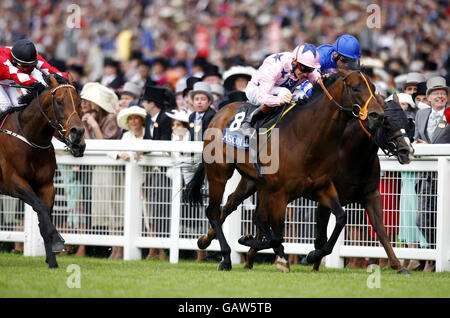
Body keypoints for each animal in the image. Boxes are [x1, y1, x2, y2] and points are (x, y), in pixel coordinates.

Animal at [0, 74, 85, 268]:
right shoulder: (13, 182)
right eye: (59, 101)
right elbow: (40, 207)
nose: (77, 134)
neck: (30, 141)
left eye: (79, 102)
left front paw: (52, 259)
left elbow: (44, 216)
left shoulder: (47, 185)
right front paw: (58, 240)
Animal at [188, 69, 384, 270]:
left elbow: (341, 218)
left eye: (374, 87)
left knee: (233, 206)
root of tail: (218, 114)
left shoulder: (321, 187)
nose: (377, 115)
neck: (305, 137)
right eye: (355, 88)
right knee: (213, 211)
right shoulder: (280, 193)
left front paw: (313, 255)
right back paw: (226, 257)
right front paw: (254, 244)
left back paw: (204, 240)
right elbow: (277, 234)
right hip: (219, 172)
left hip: (253, 181)